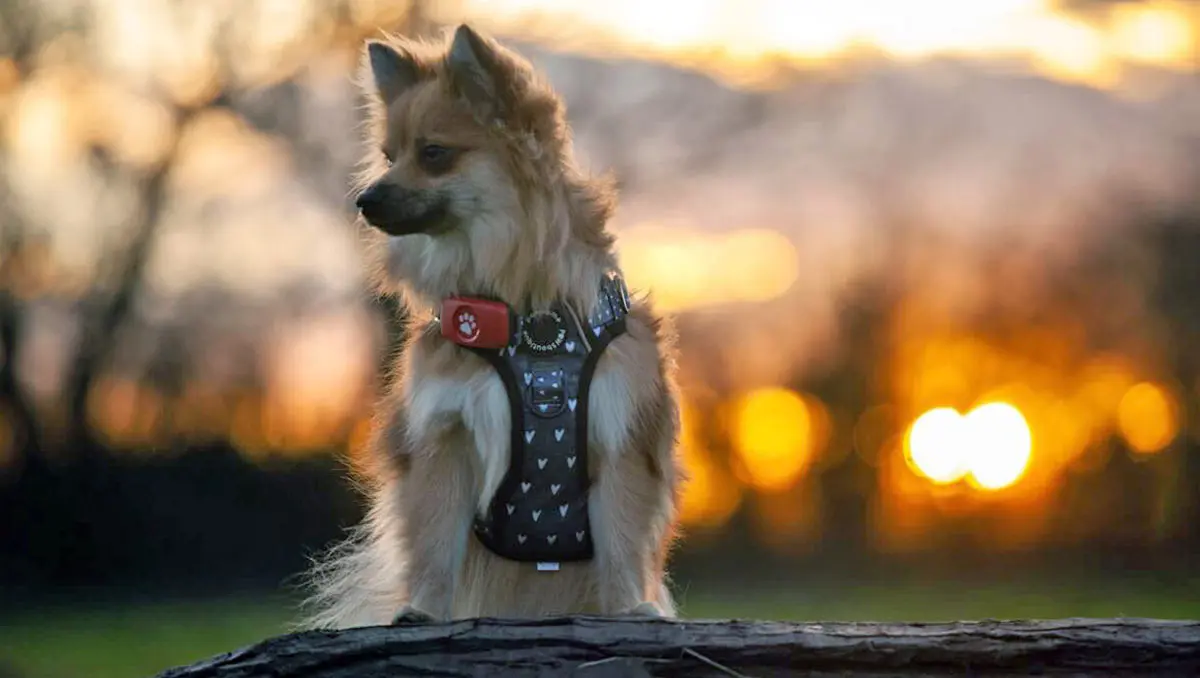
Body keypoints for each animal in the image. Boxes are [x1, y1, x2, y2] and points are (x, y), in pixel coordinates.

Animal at [302, 23, 686, 628]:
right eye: (388, 155)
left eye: (433, 154)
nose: (363, 200)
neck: (529, 315)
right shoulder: (444, 437)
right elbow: (436, 545)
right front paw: (423, 612)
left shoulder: (619, 435)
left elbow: (622, 544)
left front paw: (631, 610)